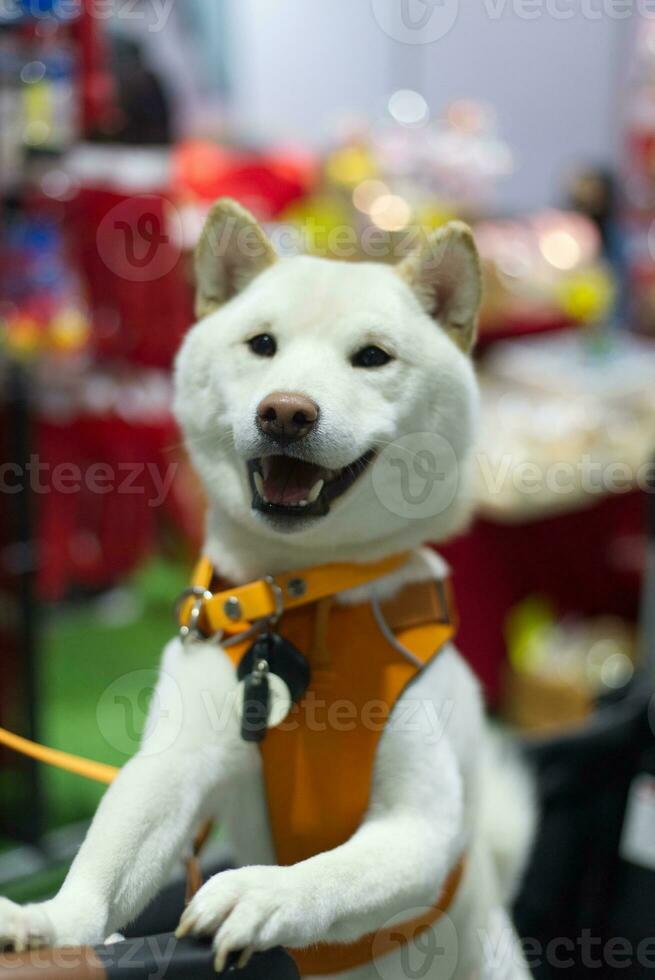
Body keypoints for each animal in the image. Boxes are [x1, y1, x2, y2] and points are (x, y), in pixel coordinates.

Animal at [0, 201, 532, 980]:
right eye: (262, 345)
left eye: (372, 356)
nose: (286, 412)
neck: (305, 601)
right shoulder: (176, 763)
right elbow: (105, 859)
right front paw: (49, 923)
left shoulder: (422, 824)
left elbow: (332, 871)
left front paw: (261, 892)